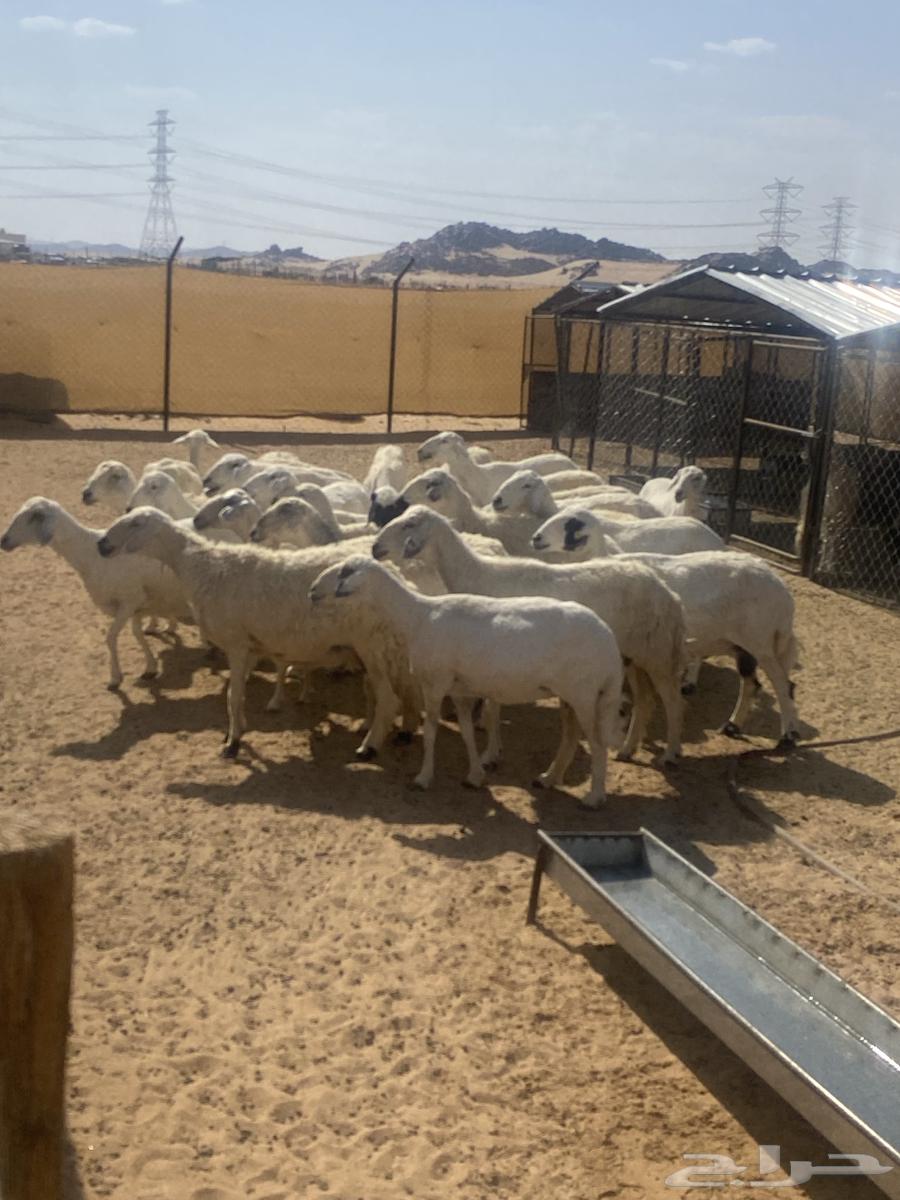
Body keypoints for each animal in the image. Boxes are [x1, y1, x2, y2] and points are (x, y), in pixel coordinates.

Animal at [1, 497, 192, 689]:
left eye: (34, 516)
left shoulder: (129, 601)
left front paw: (115, 677)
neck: (89, 554)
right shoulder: (136, 602)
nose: (3, 540)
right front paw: (150, 667)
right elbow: (137, 633)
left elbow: (111, 638)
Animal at [96, 508, 420, 759]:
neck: (202, 566)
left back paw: (369, 747)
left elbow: (233, 695)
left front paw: (232, 744)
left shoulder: (236, 644)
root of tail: (399, 575)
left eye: (135, 524)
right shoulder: (250, 647)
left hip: (373, 645)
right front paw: (237, 730)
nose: (102, 544)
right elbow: (236, 695)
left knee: (389, 699)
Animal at [308, 556, 624, 806]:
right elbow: (467, 732)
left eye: (345, 571)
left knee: (597, 743)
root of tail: (610, 642)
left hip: (586, 693)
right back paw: (548, 778)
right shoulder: (459, 688)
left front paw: (423, 777)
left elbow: (432, 732)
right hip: (570, 695)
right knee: (570, 737)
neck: (415, 616)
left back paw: (594, 797)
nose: (312, 591)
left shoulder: (434, 684)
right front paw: (474, 776)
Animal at [372, 506, 686, 765]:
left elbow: (492, 709)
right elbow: (493, 706)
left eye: (409, 524)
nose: (375, 547)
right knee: (645, 700)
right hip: (635, 655)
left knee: (671, 701)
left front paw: (489, 754)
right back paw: (628, 749)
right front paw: (493, 749)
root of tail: (668, 593)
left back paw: (670, 754)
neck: (478, 574)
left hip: (657, 653)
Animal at [534, 524, 801, 744]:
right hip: (742, 645)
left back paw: (787, 735)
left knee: (782, 683)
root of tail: (782, 589)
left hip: (761, 640)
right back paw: (733, 725)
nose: (536, 539)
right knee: (752, 684)